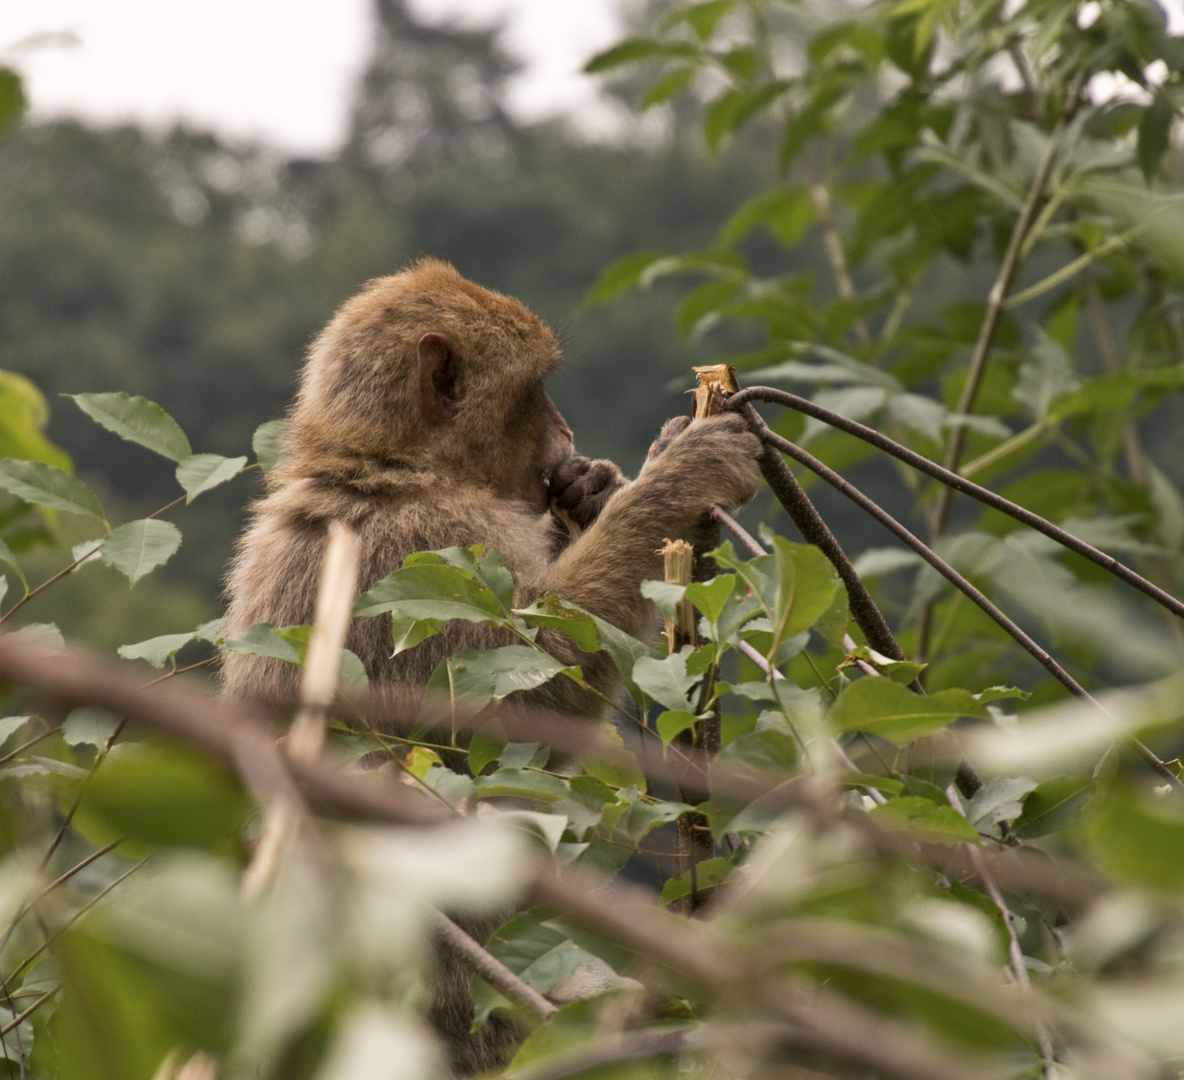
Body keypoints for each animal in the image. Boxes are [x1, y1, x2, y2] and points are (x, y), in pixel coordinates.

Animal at [220, 259, 757, 1070]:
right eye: (537, 389)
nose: (565, 433)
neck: (392, 468)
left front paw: (594, 491)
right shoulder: (437, 547)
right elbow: (532, 700)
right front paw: (678, 477)